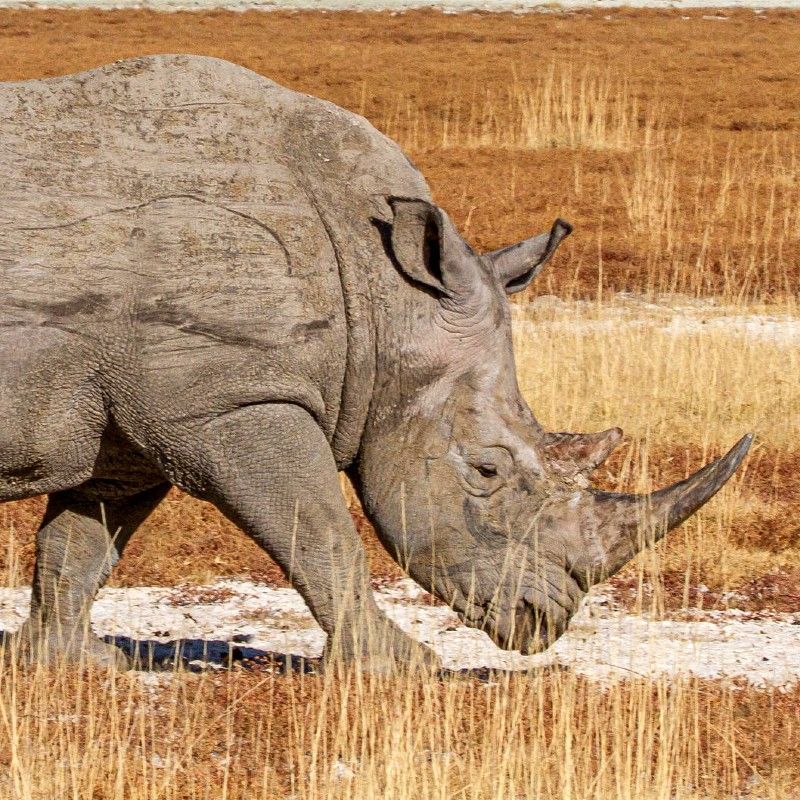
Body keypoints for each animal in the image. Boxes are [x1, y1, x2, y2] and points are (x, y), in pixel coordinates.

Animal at [0, 55, 751, 669]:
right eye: (486, 471)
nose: (546, 620)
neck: (383, 296)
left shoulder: (145, 419)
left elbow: (82, 544)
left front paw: (69, 664)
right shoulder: (231, 400)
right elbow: (320, 532)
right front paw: (401, 668)